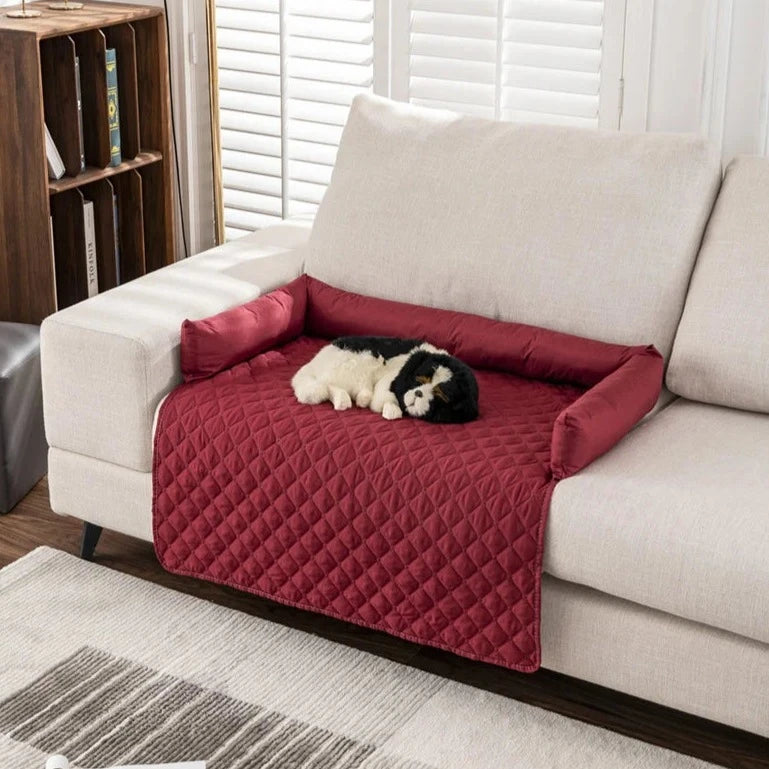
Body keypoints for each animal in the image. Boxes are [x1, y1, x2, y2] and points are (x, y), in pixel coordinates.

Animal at [292, 334, 476, 424]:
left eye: (440, 395)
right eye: (420, 380)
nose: (418, 393)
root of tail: (314, 362)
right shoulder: (390, 378)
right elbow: (386, 397)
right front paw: (392, 409)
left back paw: (352, 398)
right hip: (358, 362)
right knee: (326, 384)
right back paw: (350, 399)